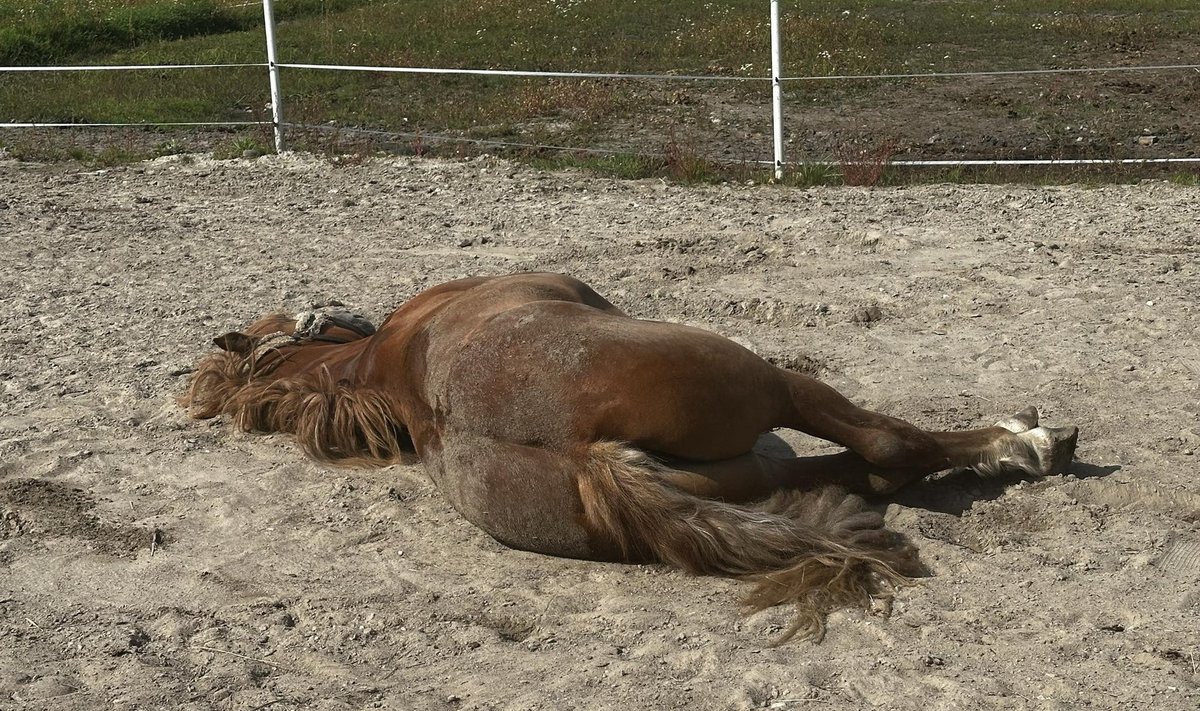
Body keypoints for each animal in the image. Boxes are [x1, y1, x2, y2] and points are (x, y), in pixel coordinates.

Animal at [184, 270, 1080, 638]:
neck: (385, 361)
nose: (341, 305)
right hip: (765, 382)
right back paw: (1026, 445)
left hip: (750, 466)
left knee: (866, 465)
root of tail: (588, 454)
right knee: (887, 443)